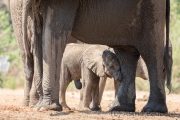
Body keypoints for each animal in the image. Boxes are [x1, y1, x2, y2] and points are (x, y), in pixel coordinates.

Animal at [9, 0, 172, 113]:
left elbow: (53, 32)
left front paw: (44, 108)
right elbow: (39, 34)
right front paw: (41, 107)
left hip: (152, 8)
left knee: (151, 52)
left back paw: (152, 110)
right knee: (126, 51)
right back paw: (118, 108)